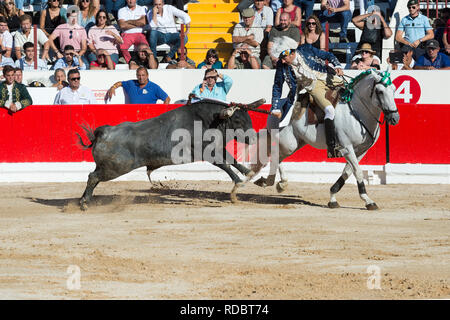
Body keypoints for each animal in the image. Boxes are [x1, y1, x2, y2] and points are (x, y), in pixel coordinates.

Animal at [75, 99, 262, 210]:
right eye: (237, 120)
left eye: (249, 119)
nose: (254, 138)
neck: (208, 121)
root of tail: (104, 132)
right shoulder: (206, 152)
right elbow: (225, 164)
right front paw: (238, 184)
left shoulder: (216, 147)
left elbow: (231, 159)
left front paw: (249, 173)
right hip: (115, 168)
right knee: (93, 177)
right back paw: (84, 203)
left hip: (108, 167)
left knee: (93, 178)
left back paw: (83, 200)